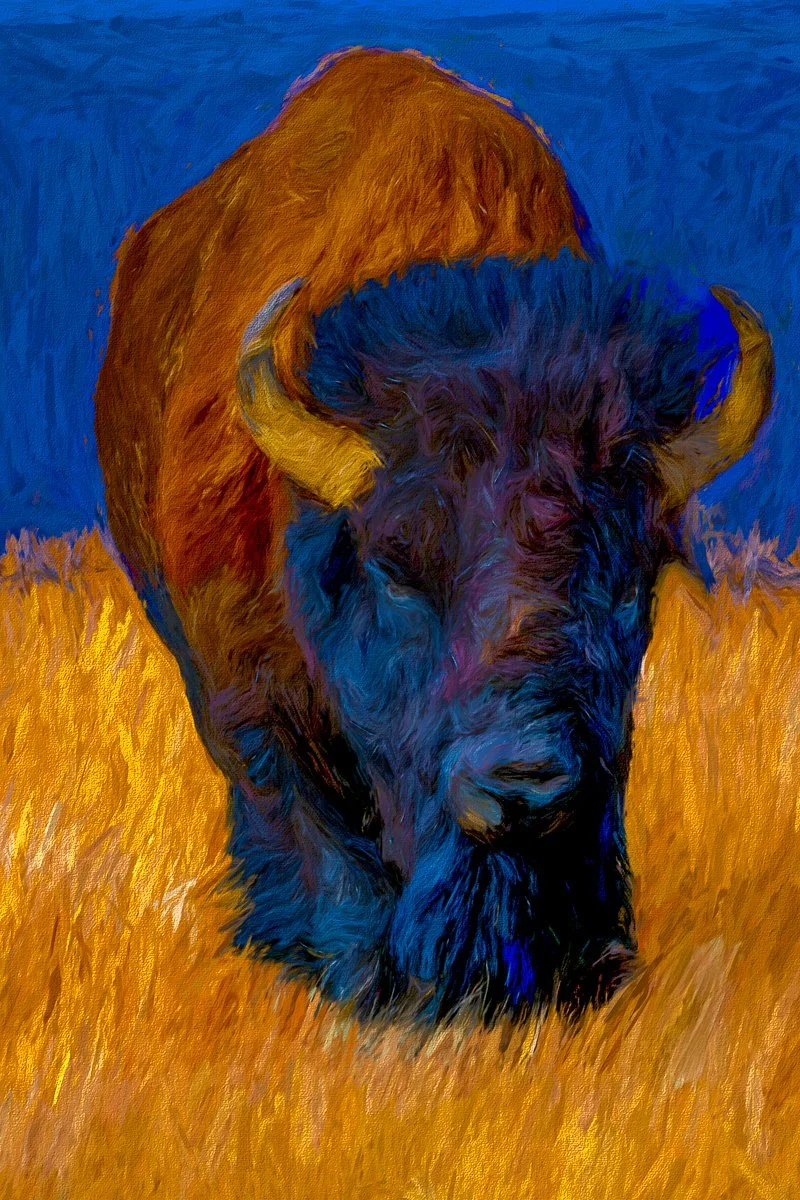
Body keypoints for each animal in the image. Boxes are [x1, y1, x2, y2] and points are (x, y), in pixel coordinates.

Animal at [95, 48, 773, 1022]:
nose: (523, 783)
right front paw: (359, 980)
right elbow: (318, 839)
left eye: (627, 578)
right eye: (398, 564)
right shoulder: (249, 699)